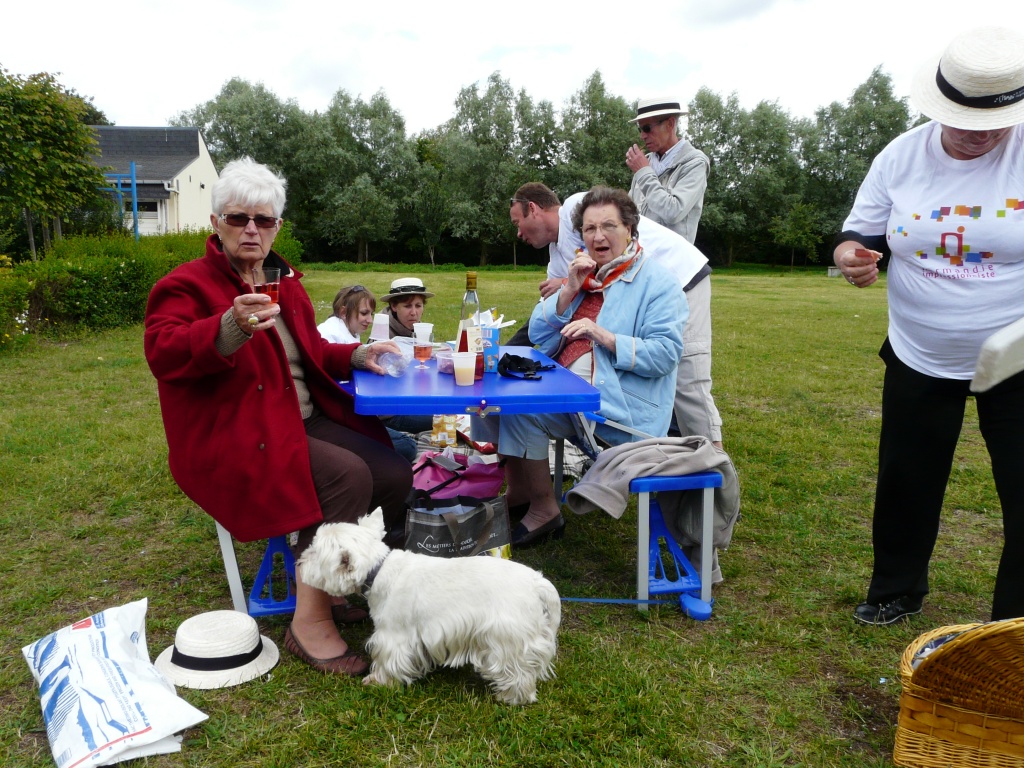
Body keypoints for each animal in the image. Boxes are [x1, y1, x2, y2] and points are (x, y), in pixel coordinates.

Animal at [299, 507, 561, 708]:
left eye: (314, 552)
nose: (299, 563)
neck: (379, 570)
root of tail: (538, 582)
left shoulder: (393, 635)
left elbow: (387, 659)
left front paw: (378, 681)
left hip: (507, 639)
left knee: (519, 674)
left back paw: (511, 698)